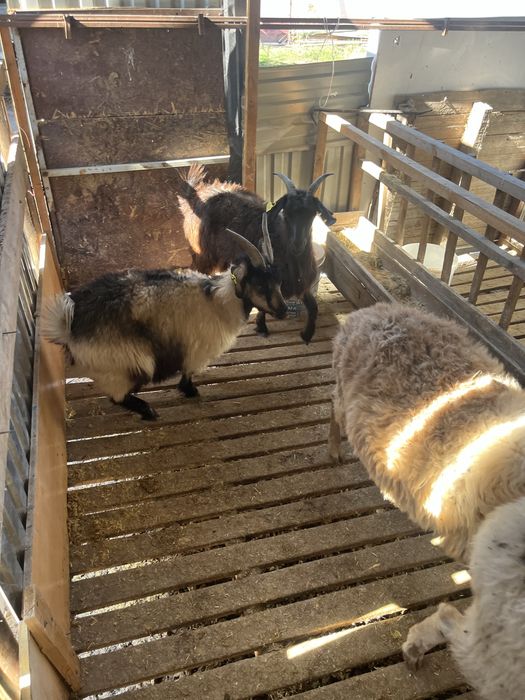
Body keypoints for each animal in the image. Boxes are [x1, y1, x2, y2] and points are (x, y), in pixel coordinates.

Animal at [43, 227, 287, 420]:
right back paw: (148, 411)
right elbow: (188, 373)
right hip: (129, 362)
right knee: (118, 396)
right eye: (261, 285)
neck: (217, 300)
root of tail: (70, 326)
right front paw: (190, 391)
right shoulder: (196, 349)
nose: (284, 311)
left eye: (278, 282)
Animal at [177, 164, 336, 343]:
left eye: (312, 213)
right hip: (202, 254)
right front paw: (261, 327)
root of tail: (195, 193)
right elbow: (262, 305)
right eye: (286, 212)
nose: (297, 244)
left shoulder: (299, 284)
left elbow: (314, 307)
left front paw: (307, 334)